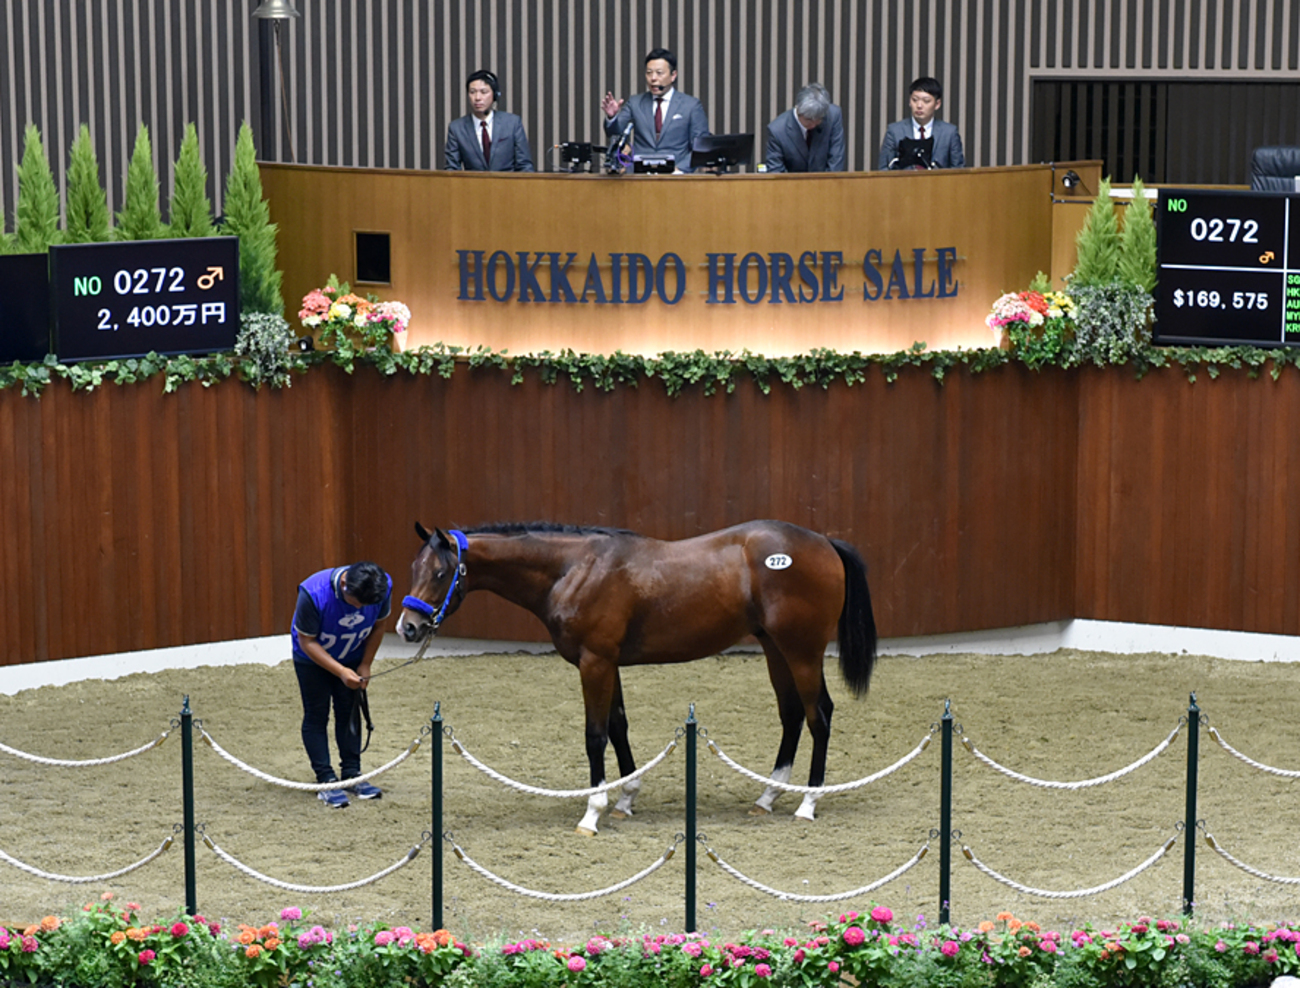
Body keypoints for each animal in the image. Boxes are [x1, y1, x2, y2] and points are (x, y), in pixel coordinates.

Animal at [397, 520, 877, 834]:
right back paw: (768, 797)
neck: (573, 569)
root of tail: (823, 542)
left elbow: (595, 735)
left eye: (440, 573)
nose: (408, 627)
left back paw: (808, 802)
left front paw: (593, 811)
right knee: (792, 715)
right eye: (413, 569)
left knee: (819, 716)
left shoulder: (594, 663)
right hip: (775, 648)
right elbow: (618, 726)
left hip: (802, 651)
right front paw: (626, 798)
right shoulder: (608, 664)